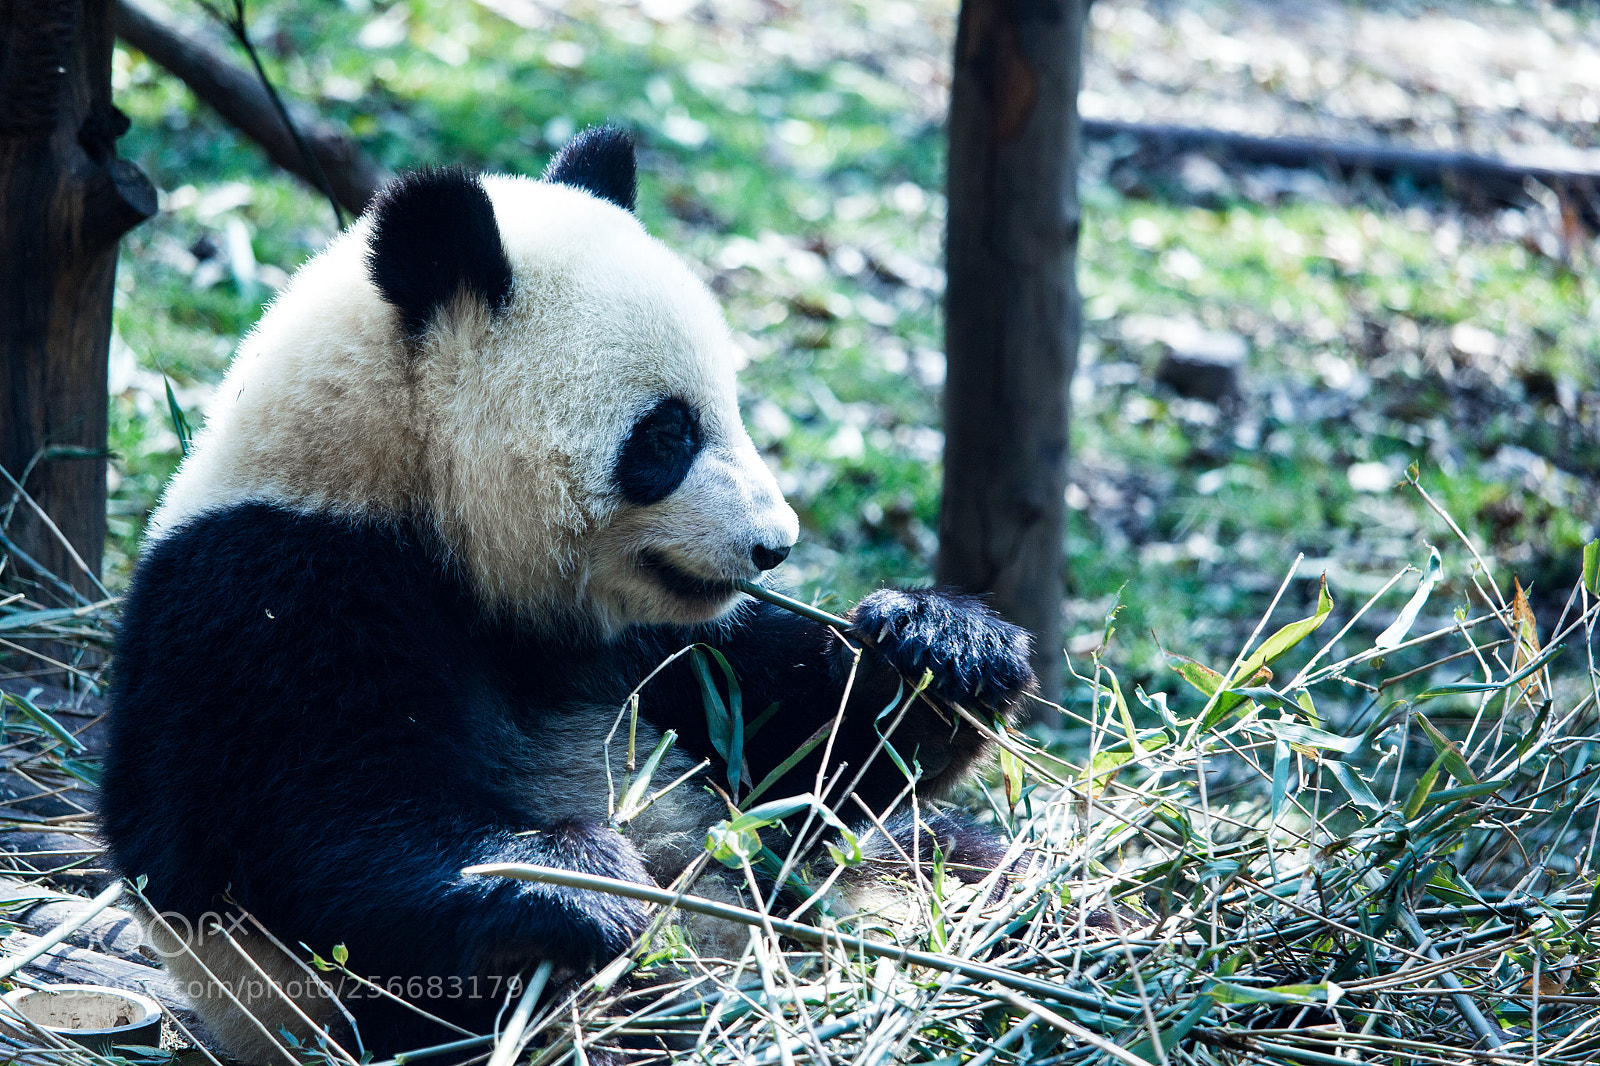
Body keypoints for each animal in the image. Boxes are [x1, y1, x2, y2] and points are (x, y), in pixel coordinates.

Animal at [100, 128, 1035, 1064]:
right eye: (667, 434)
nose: (775, 545)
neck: (400, 483)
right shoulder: (268, 589)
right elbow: (303, 823)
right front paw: (579, 883)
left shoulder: (648, 642)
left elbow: (802, 748)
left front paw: (941, 646)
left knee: (945, 854)